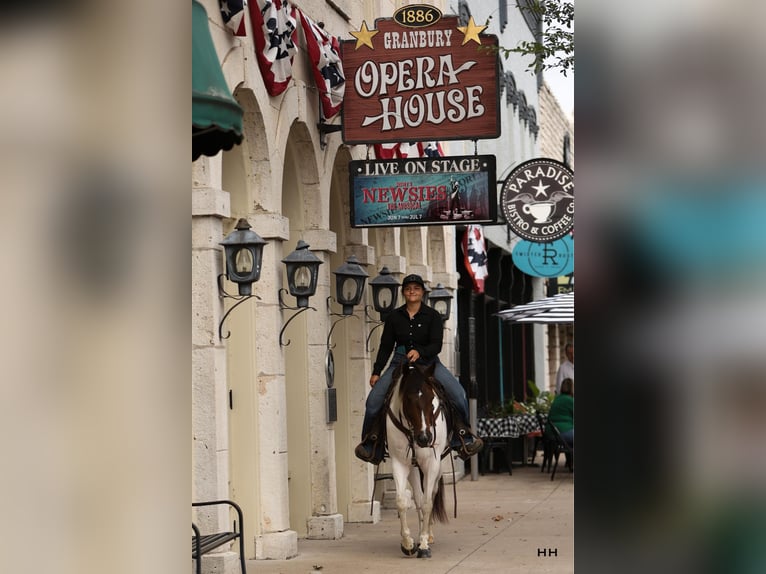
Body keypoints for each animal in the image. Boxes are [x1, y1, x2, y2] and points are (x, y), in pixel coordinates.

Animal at [384, 364, 450, 560]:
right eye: (408, 399)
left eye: (431, 400)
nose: (425, 438)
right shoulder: (399, 463)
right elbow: (401, 501)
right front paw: (408, 543)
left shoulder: (432, 463)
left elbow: (428, 503)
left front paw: (424, 545)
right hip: (413, 468)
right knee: (418, 497)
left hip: (438, 466)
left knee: (431, 494)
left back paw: (428, 535)